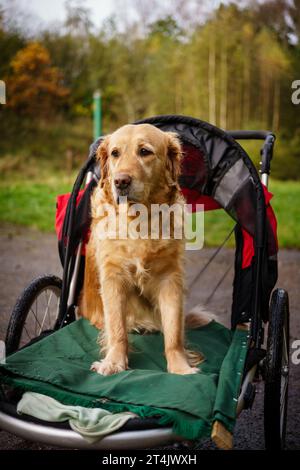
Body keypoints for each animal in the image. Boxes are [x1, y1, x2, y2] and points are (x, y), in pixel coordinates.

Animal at [78, 123, 210, 376]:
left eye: (145, 152)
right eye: (115, 153)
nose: (120, 181)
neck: (139, 219)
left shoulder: (170, 278)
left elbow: (174, 332)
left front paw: (180, 366)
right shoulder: (113, 277)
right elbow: (117, 328)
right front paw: (114, 362)